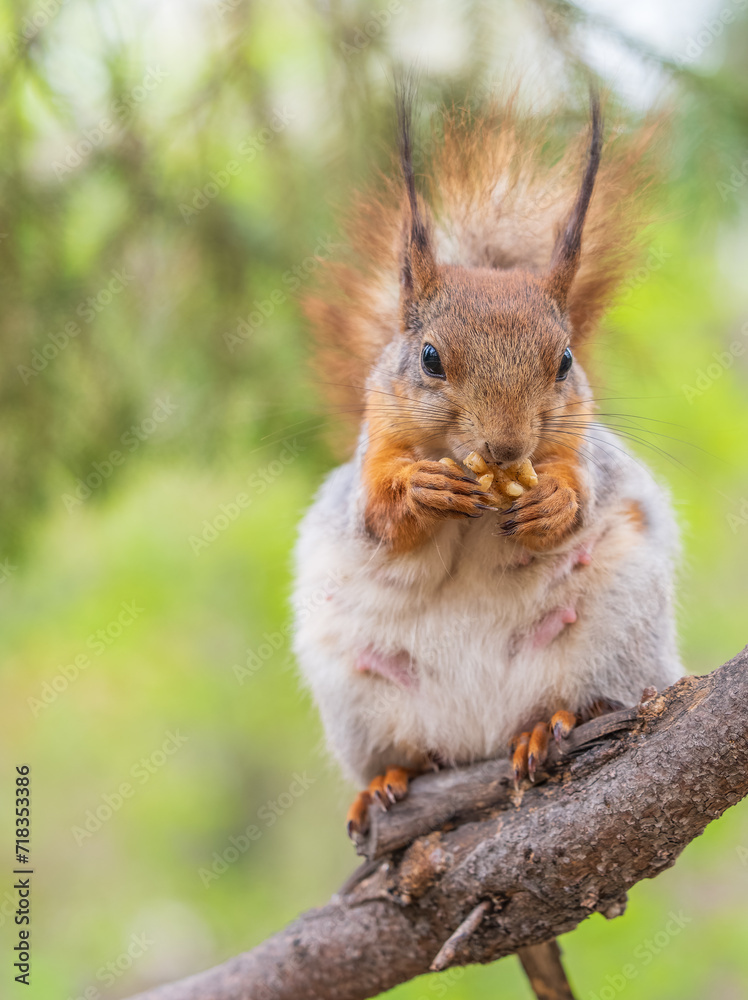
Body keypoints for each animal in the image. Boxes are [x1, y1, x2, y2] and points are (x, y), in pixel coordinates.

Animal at [291, 87, 683, 996]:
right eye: (430, 357)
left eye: (565, 360)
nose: (506, 449)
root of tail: (477, 736)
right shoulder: (368, 462)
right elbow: (377, 517)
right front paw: (421, 494)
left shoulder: (585, 451)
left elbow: (581, 490)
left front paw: (549, 503)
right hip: (359, 694)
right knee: (409, 757)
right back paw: (393, 779)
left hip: (614, 638)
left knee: (578, 699)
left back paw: (548, 728)